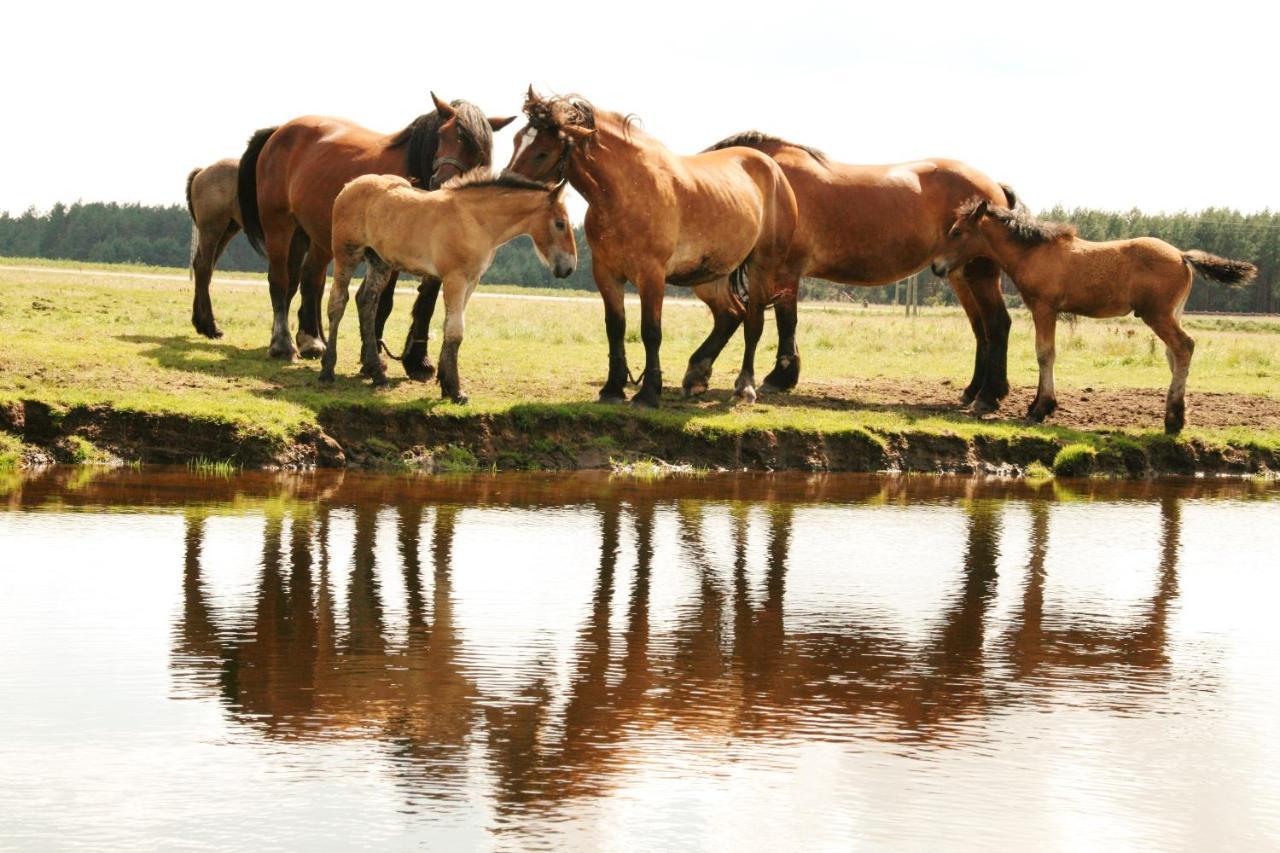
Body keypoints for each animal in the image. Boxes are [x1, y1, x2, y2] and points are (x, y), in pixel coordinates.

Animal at [235, 92, 514, 368]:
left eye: (478, 149)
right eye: (441, 135)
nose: (442, 182)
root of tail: (278, 131)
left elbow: (428, 300)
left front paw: (416, 360)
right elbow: (383, 300)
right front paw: (373, 354)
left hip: (313, 235)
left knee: (307, 279)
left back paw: (311, 340)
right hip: (279, 224)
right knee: (280, 280)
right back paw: (282, 344)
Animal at [322, 172, 578, 402]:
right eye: (560, 223)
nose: (568, 268)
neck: (475, 220)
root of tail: (349, 186)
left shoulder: (472, 281)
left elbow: (450, 328)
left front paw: (446, 385)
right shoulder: (455, 278)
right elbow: (456, 331)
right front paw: (456, 391)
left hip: (379, 262)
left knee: (366, 302)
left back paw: (377, 374)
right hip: (347, 254)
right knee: (338, 302)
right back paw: (327, 369)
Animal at [504, 89, 793, 404]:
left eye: (542, 151)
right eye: (516, 141)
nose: (507, 189)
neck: (627, 192)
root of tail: (773, 169)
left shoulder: (651, 275)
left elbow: (651, 331)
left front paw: (648, 392)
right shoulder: (606, 273)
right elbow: (615, 328)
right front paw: (613, 388)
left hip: (761, 267)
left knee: (753, 322)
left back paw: (745, 387)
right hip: (711, 275)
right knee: (729, 314)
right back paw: (696, 377)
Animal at [686, 131, 1024, 412]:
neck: (771, 185)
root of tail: (994, 187)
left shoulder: (785, 271)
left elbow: (786, 322)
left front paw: (779, 377)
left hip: (980, 274)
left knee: (997, 324)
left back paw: (989, 395)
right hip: (960, 275)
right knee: (981, 328)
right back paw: (972, 391)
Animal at [936, 199, 1254, 432]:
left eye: (957, 232)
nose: (937, 267)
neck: (1034, 253)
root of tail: (1182, 256)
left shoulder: (1044, 307)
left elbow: (1044, 354)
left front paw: (1040, 409)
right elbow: (1045, 354)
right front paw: (1038, 405)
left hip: (1157, 315)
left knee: (1184, 346)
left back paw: (1173, 420)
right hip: (1172, 313)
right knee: (1174, 354)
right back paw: (1178, 416)